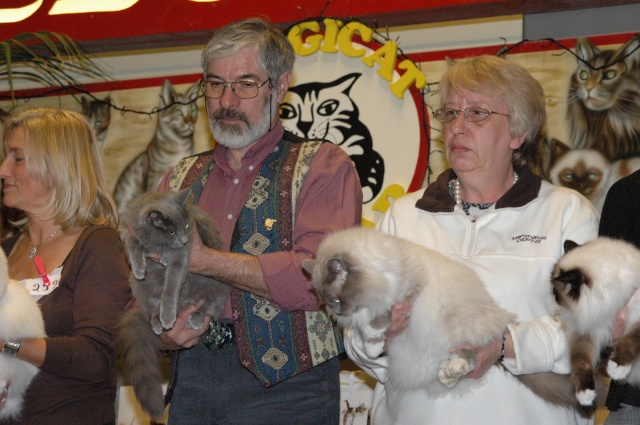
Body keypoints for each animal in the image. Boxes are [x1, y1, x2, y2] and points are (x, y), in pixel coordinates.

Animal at [119, 188, 229, 418]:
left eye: (187, 226)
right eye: (171, 232)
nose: (185, 239)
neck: (160, 245)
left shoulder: (181, 260)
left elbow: (170, 289)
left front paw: (168, 314)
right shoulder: (132, 233)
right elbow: (131, 244)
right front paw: (139, 267)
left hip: (217, 286)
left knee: (211, 308)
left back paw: (194, 317)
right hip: (138, 289)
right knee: (149, 309)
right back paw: (156, 322)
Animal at [304, 227, 604, 416]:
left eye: (337, 299)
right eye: (325, 300)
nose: (336, 312)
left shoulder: (406, 294)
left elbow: (380, 319)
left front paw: (374, 338)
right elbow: (368, 334)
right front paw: (373, 345)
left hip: (461, 325)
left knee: (471, 354)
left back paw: (453, 368)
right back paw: (447, 376)